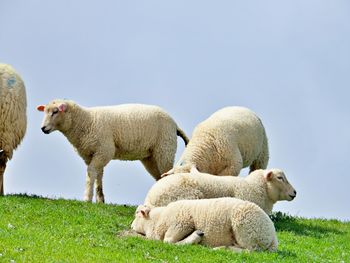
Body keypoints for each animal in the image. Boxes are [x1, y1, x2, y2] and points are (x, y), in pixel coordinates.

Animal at [36, 100, 189, 203]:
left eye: (55, 111)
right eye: (45, 111)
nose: (43, 128)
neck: (86, 121)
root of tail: (175, 124)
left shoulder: (105, 150)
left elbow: (91, 172)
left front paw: (87, 198)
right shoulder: (91, 154)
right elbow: (98, 175)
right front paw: (100, 200)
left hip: (165, 148)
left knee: (168, 174)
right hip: (150, 156)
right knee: (159, 178)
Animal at [131, 199, 278, 253]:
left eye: (137, 214)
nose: (131, 226)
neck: (157, 219)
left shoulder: (182, 222)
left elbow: (169, 241)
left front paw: (196, 236)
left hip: (247, 229)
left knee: (250, 251)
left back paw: (221, 249)